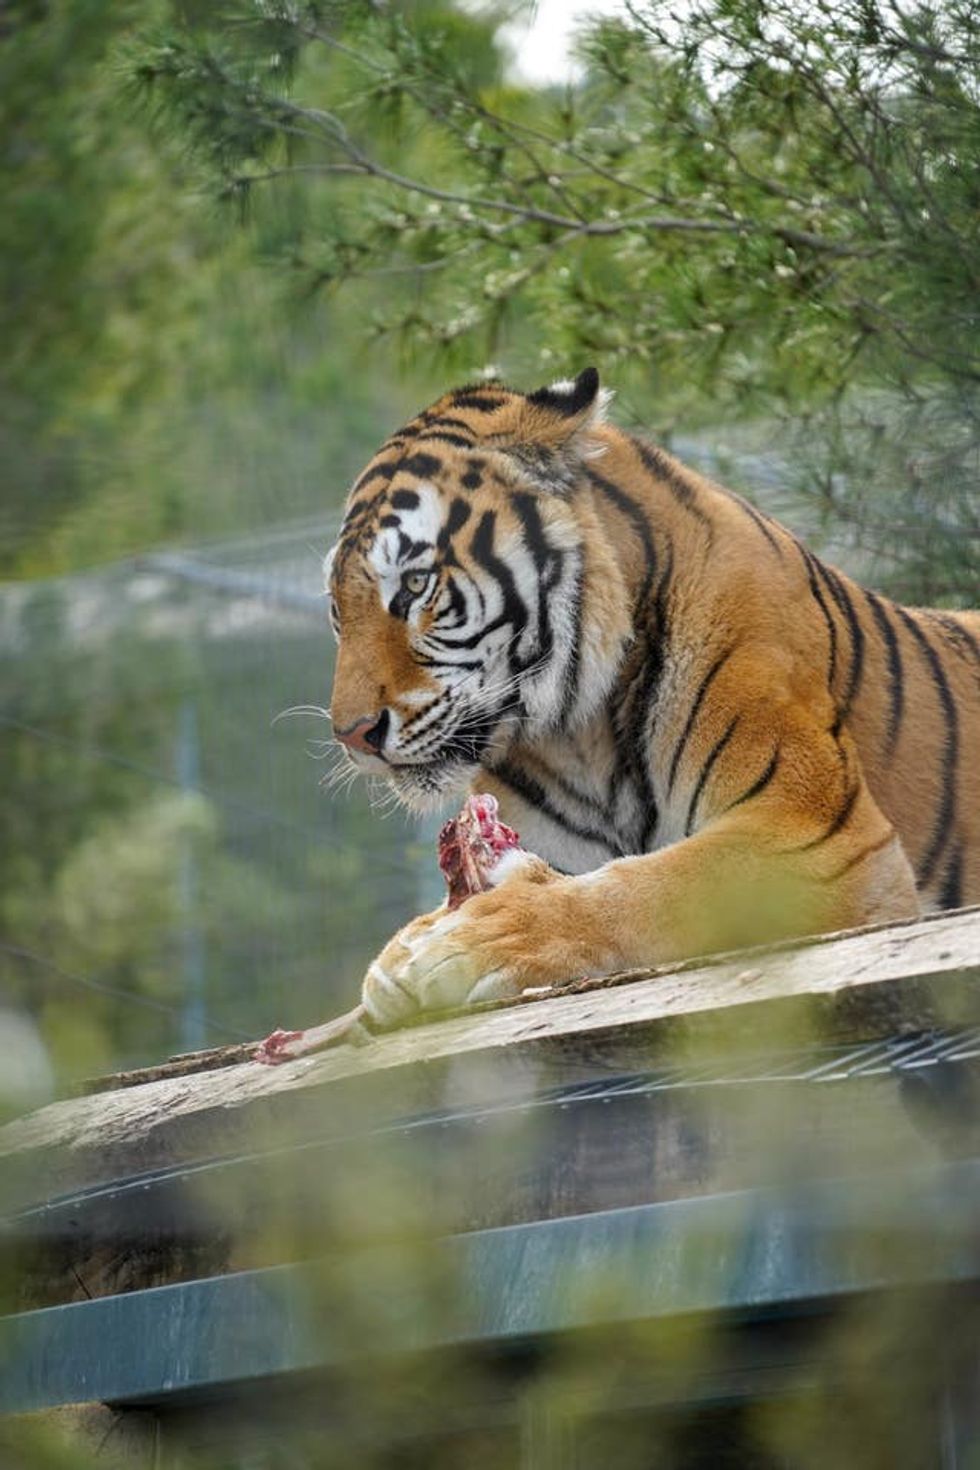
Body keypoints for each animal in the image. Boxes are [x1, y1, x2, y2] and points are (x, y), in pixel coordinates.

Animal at [326, 367, 980, 1028]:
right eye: (336, 607)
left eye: (415, 585)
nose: (352, 734)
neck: (576, 736)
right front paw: (401, 953)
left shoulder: (820, 830)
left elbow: (657, 883)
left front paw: (466, 944)